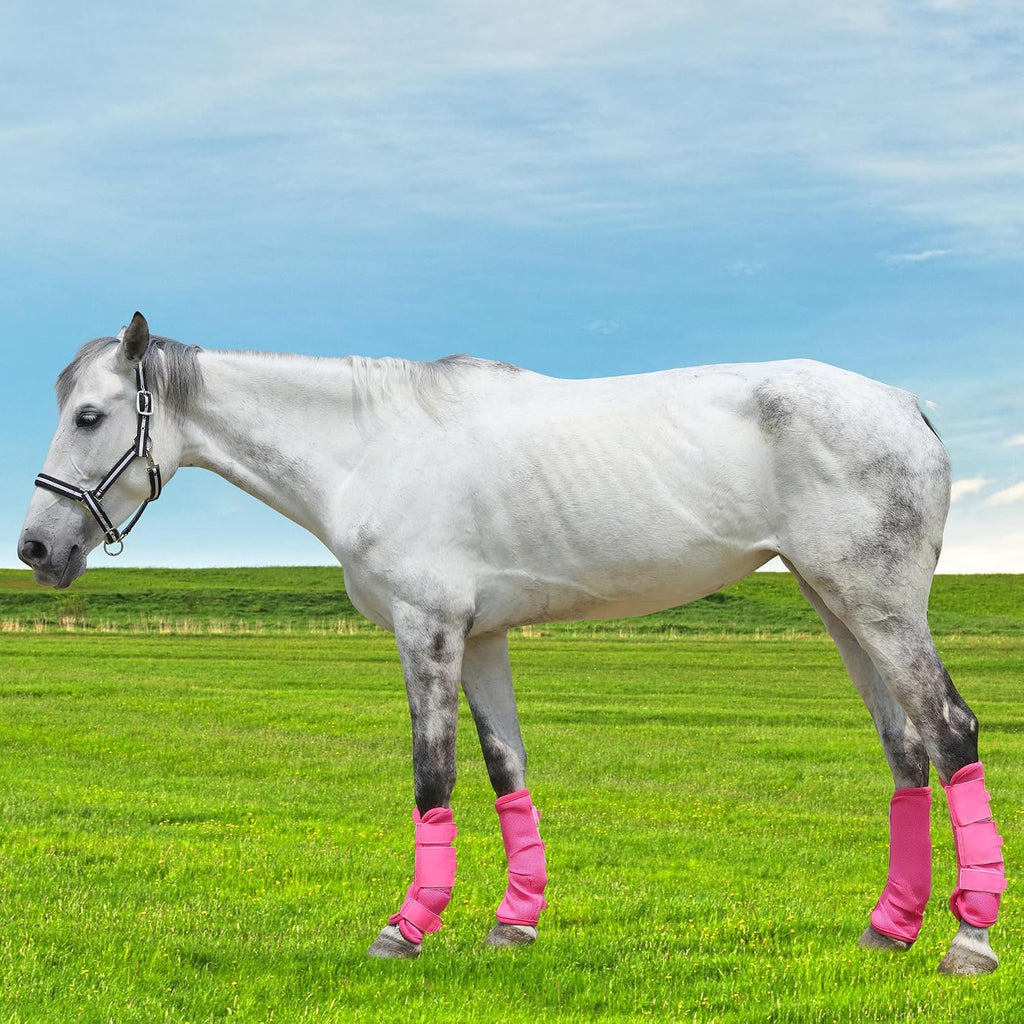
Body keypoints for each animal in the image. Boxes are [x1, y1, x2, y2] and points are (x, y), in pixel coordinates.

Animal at [18, 312, 1005, 975]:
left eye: (92, 416)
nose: (35, 548)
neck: (371, 449)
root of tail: (906, 406)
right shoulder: (482, 636)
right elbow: (506, 770)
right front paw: (514, 922)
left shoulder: (426, 631)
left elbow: (433, 775)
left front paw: (405, 930)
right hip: (838, 604)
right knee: (905, 749)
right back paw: (889, 930)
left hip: (879, 605)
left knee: (950, 732)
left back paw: (968, 941)